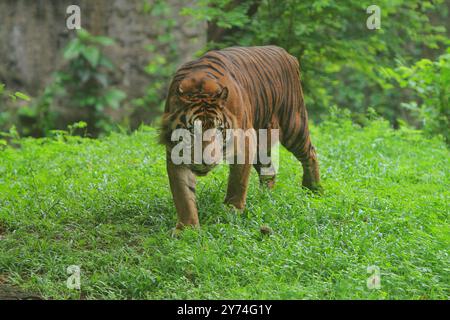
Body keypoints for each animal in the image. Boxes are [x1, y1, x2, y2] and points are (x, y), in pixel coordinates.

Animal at [160, 45, 322, 230]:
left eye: (218, 129)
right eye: (192, 130)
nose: (206, 161)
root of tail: (286, 54)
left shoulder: (245, 143)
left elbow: (237, 183)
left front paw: (231, 212)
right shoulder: (174, 152)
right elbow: (183, 195)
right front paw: (187, 228)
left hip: (293, 125)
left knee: (310, 154)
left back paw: (312, 190)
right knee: (269, 171)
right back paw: (264, 199)